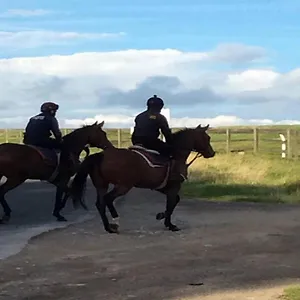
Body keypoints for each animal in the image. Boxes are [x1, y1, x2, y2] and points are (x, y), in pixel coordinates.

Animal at [70, 123, 216, 233]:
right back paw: (115, 222)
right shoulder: (174, 186)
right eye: (207, 138)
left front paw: (162, 216)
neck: (176, 155)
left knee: (100, 204)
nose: (212, 153)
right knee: (108, 199)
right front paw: (169, 224)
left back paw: (108, 227)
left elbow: (175, 201)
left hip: (102, 185)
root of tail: (102, 155)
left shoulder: (162, 187)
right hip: (123, 186)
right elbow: (171, 203)